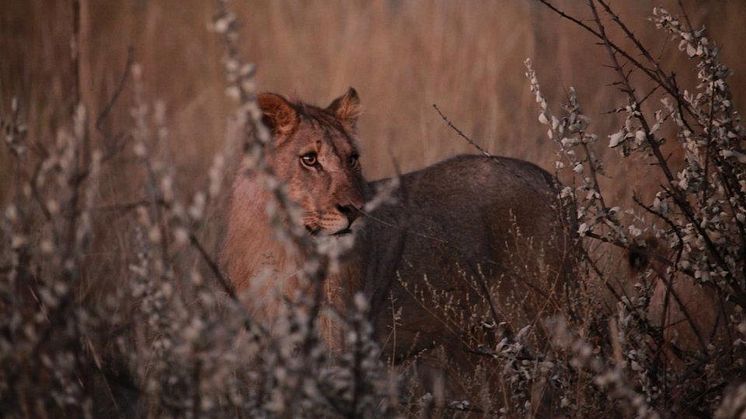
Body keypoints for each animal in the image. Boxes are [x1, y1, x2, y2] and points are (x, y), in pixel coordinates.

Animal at [218, 89, 580, 410]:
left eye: (352, 158)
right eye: (309, 159)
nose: (355, 210)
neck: (287, 244)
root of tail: (553, 182)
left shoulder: (337, 346)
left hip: (539, 316)